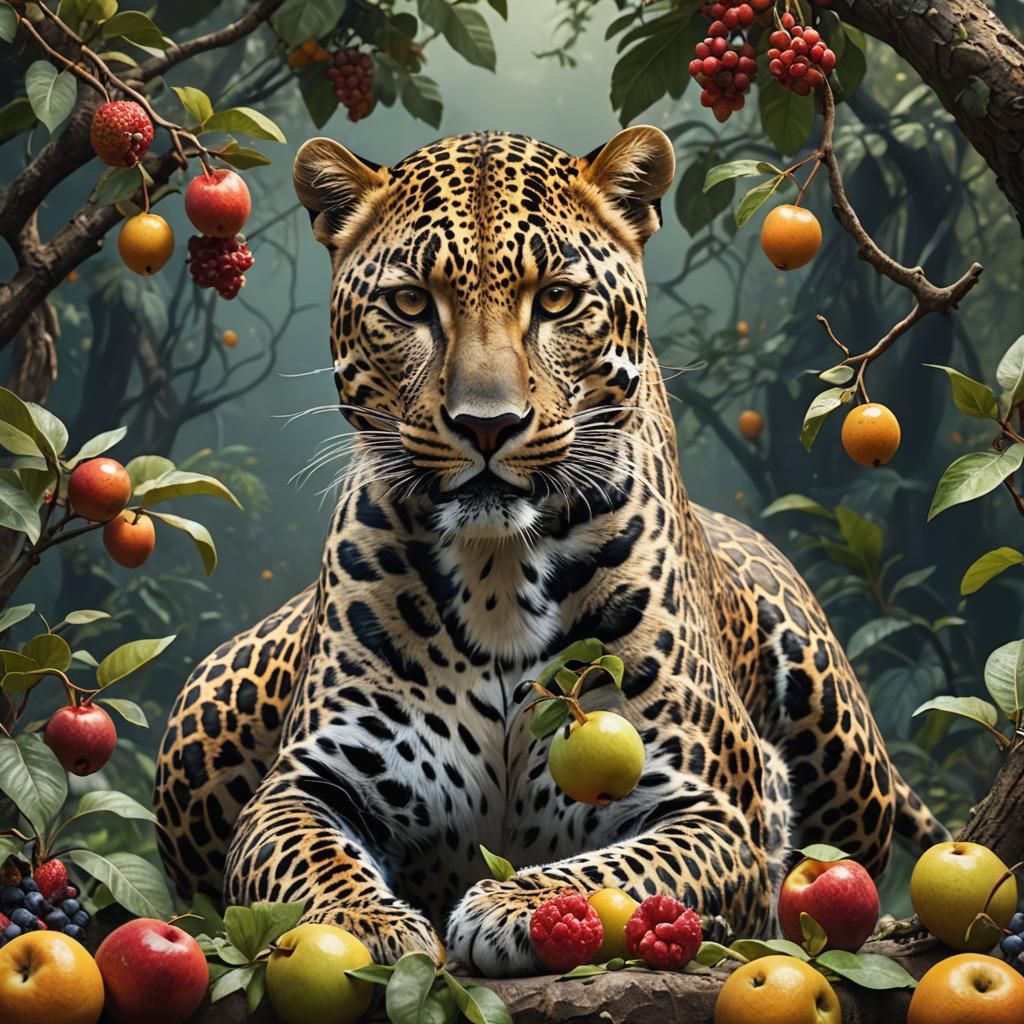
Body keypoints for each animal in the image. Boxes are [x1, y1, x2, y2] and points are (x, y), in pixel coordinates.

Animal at [153, 127, 947, 976]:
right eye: (411, 304)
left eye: (558, 299)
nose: (487, 424)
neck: (495, 569)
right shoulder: (307, 779)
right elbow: (305, 857)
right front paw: (362, 922)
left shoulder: (712, 809)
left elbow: (622, 868)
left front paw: (517, 905)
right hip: (206, 703)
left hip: (832, 719)